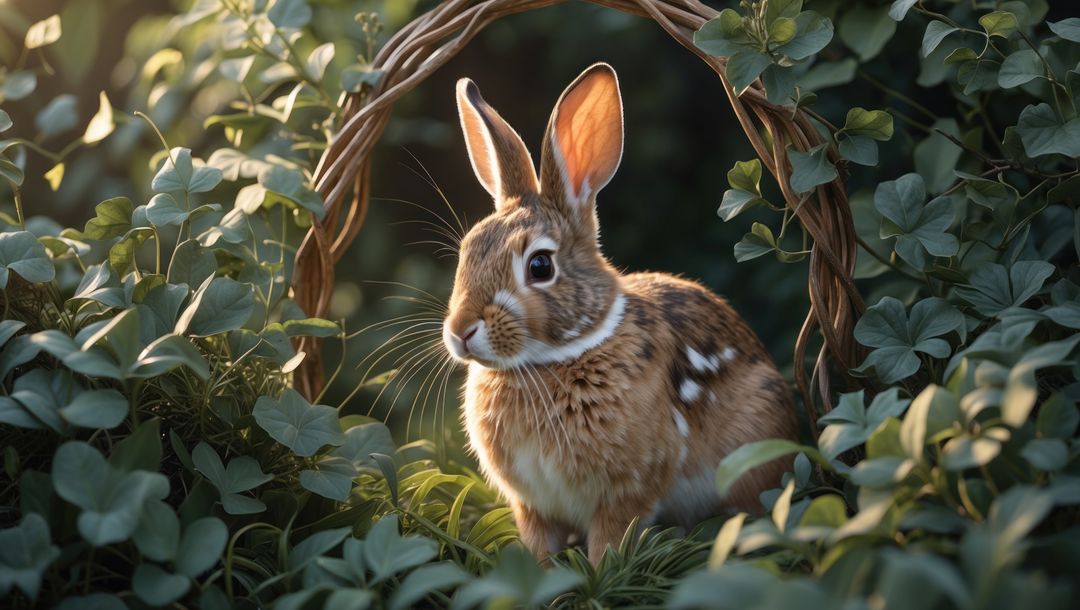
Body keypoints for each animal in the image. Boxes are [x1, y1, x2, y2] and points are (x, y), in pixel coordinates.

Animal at [441, 63, 798, 564]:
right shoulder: (532, 505)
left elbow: (609, 541)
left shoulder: (625, 492)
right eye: (467, 252)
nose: (460, 331)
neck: (547, 362)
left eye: (540, 266)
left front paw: (599, 572)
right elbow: (540, 547)